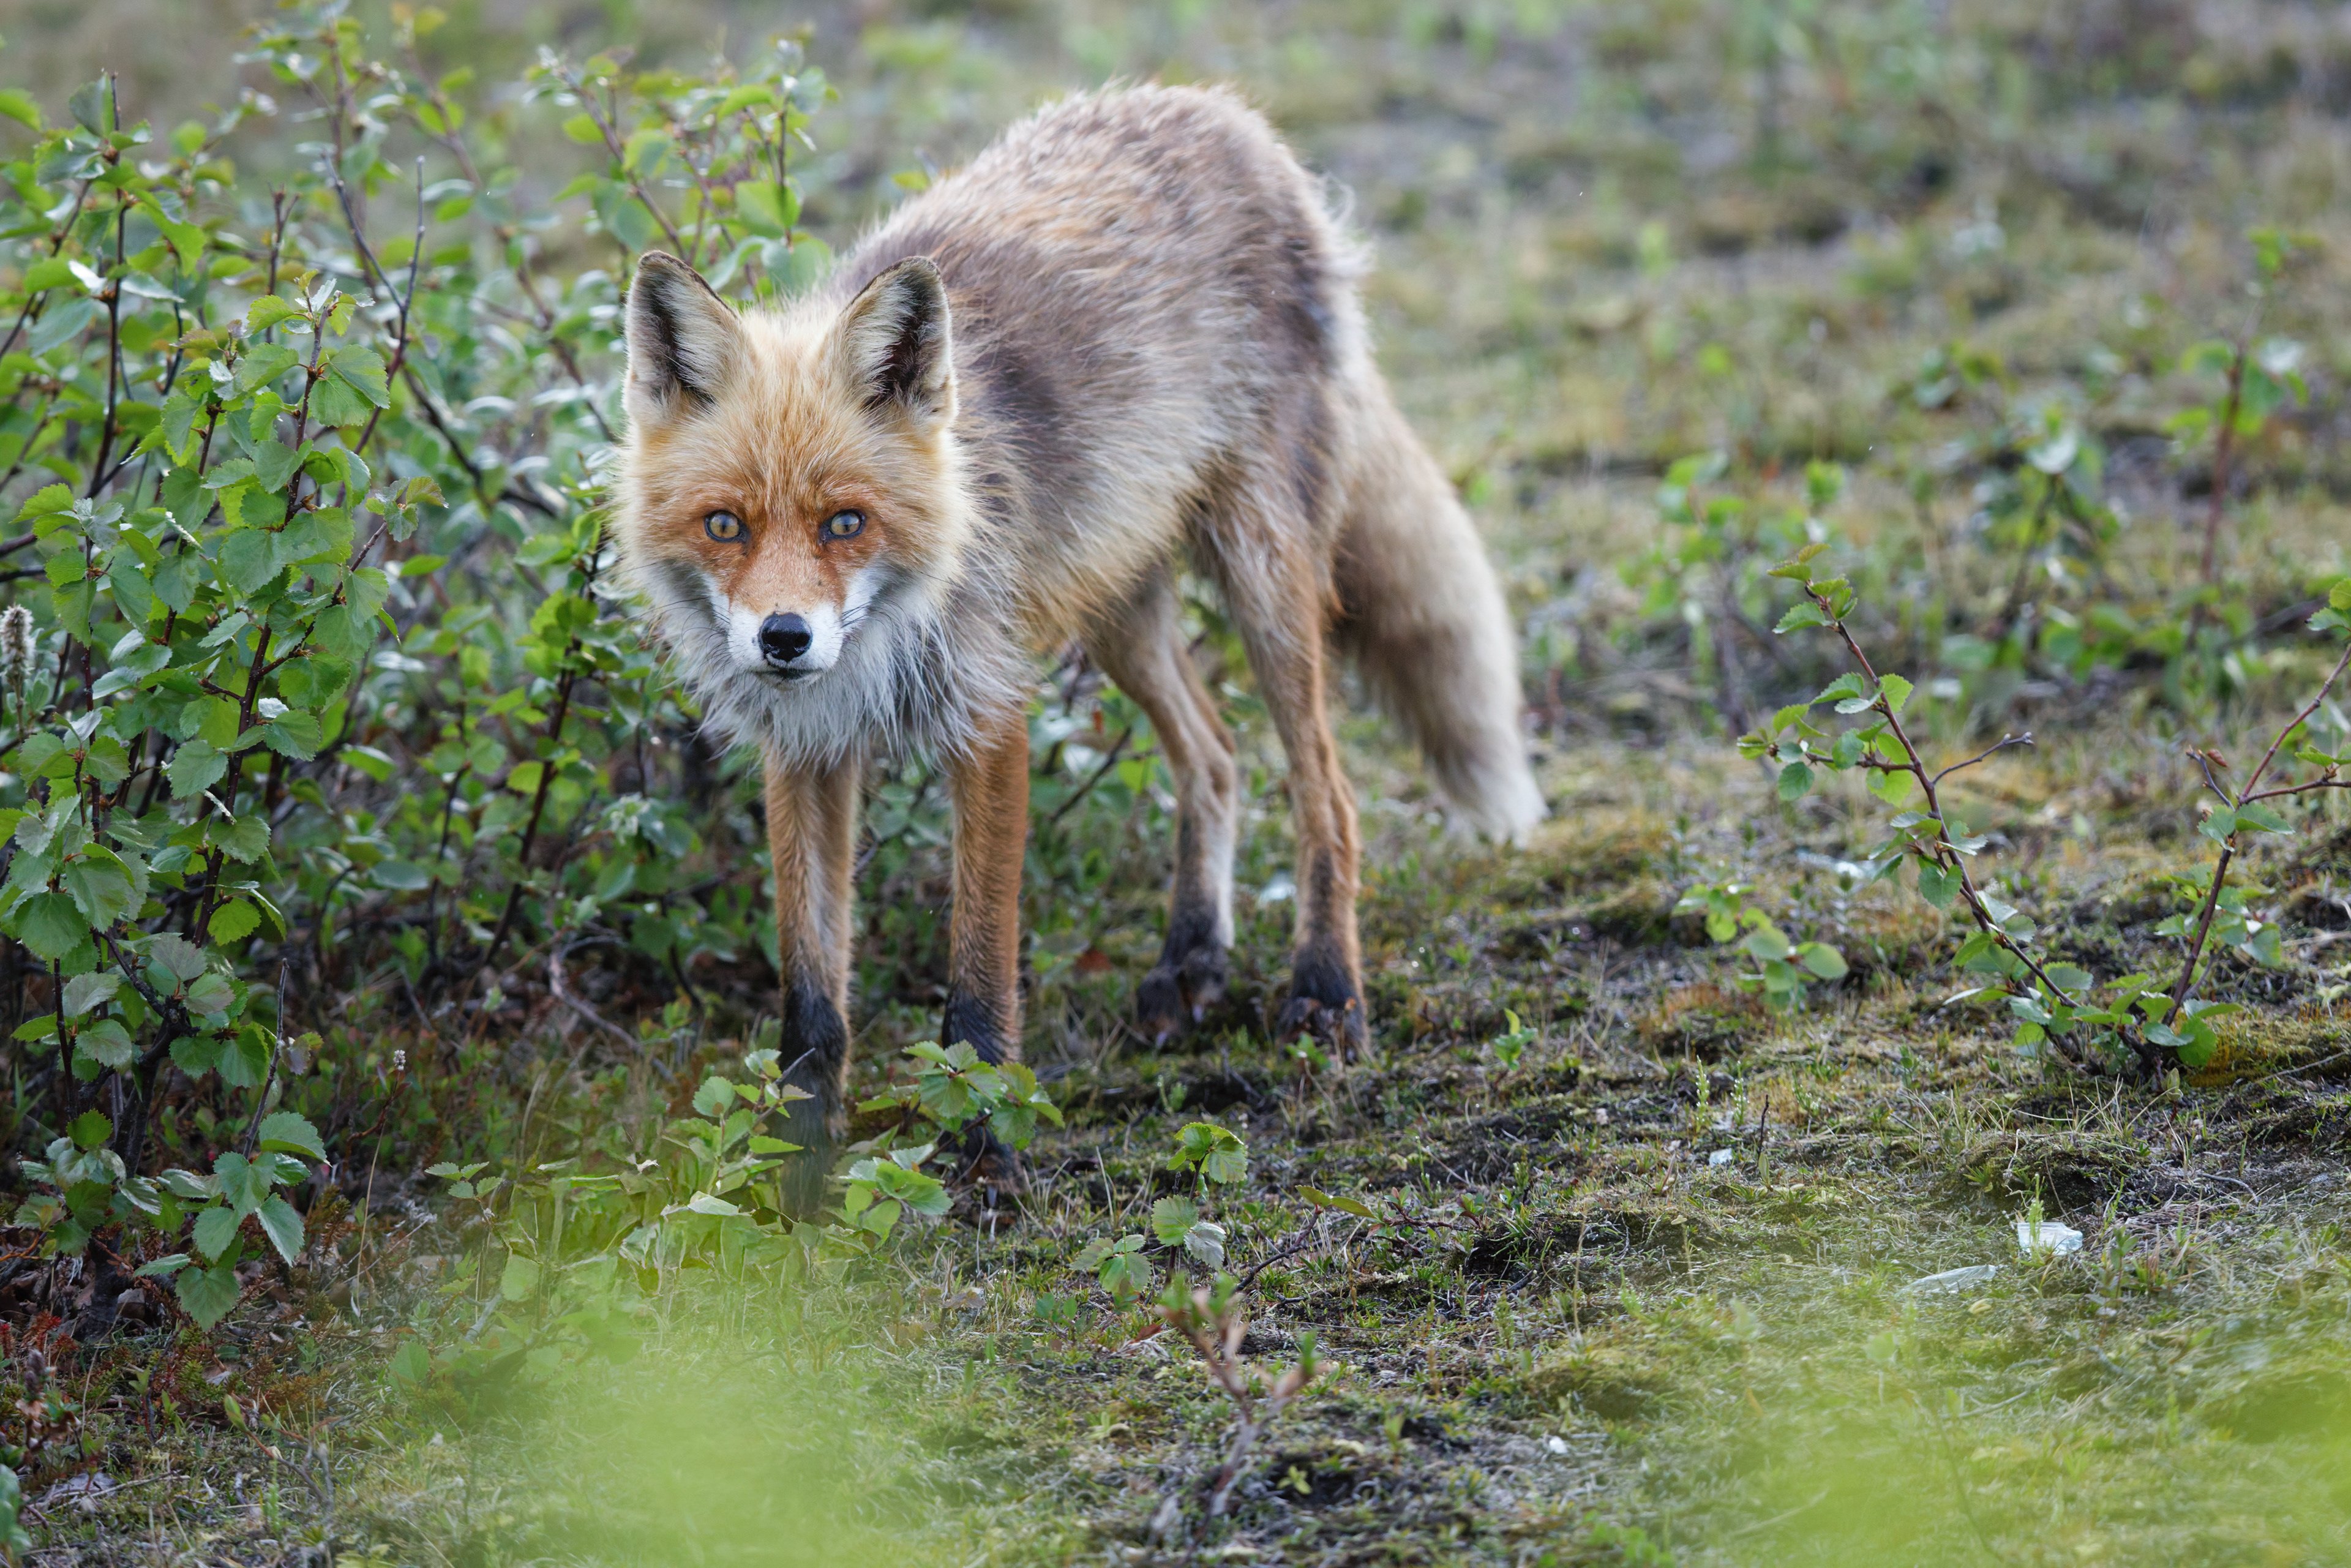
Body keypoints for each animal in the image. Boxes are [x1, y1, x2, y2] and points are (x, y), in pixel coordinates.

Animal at [613, 84, 1542, 1212]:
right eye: (725, 525)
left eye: (846, 523)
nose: (784, 639)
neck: (883, 641)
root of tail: (1226, 114)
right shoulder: (806, 755)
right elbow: (811, 997)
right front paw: (797, 1180)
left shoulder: (990, 721)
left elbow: (977, 977)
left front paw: (984, 1158)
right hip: (1117, 608)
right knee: (1216, 758)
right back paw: (1191, 960)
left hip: (1263, 579)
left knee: (1328, 790)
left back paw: (1326, 993)